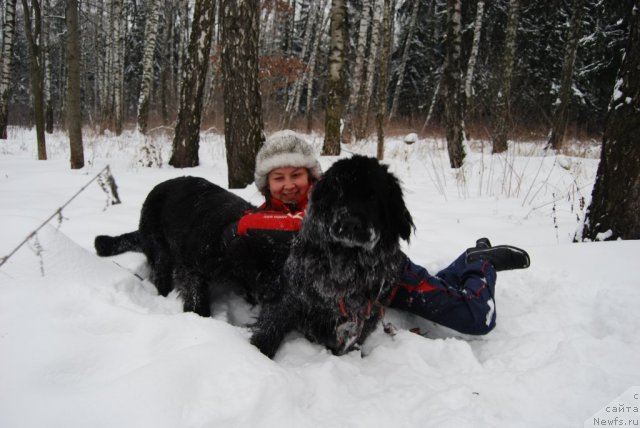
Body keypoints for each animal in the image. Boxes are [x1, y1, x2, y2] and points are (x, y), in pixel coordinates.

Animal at [93, 176, 288, 316]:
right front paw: (198, 317)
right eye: (263, 268)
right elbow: (195, 296)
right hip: (160, 250)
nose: (276, 293)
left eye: (281, 265)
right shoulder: (192, 271)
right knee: (160, 275)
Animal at [250, 156, 416, 358]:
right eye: (339, 195)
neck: (348, 266)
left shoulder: (365, 315)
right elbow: (270, 327)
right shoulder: (287, 296)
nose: (350, 224)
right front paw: (257, 353)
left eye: (372, 197)